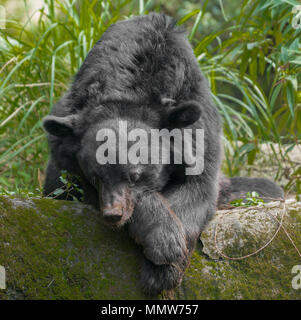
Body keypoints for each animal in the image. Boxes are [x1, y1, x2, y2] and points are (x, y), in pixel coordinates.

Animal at [42, 13, 284, 296]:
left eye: (135, 176)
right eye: (95, 177)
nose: (113, 215)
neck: (131, 89)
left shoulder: (198, 126)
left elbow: (197, 187)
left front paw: (163, 267)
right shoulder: (66, 145)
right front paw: (163, 243)